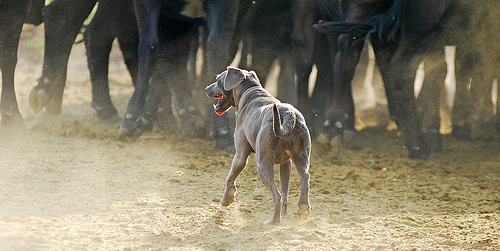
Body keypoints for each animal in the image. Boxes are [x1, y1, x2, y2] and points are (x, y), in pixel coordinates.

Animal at [205, 66, 310, 224]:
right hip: (301, 157)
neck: (250, 91)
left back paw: (273, 222)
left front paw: (226, 199)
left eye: (218, 80)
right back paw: (303, 209)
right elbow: (285, 189)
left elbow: (230, 176)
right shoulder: (286, 163)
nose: (206, 88)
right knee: (303, 178)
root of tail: (287, 114)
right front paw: (285, 214)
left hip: (262, 165)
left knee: (277, 195)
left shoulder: (240, 155)